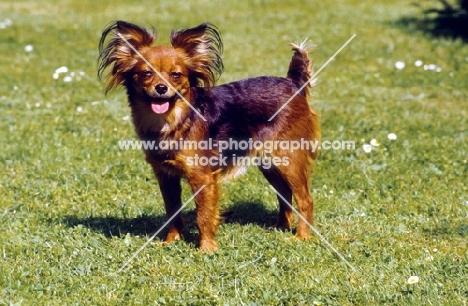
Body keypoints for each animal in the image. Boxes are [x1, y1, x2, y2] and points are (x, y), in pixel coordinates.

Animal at [97, 20, 320, 251]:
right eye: (146, 74)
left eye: (176, 75)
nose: (161, 88)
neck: (173, 120)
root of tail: (293, 83)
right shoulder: (166, 176)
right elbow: (172, 211)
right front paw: (171, 241)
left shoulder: (202, 177)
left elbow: (203, 214)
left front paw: (206, 249)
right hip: (269, 164)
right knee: (285, 195)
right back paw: (280, 228)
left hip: (288, 159)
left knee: (305, 199)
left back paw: (302, 236)